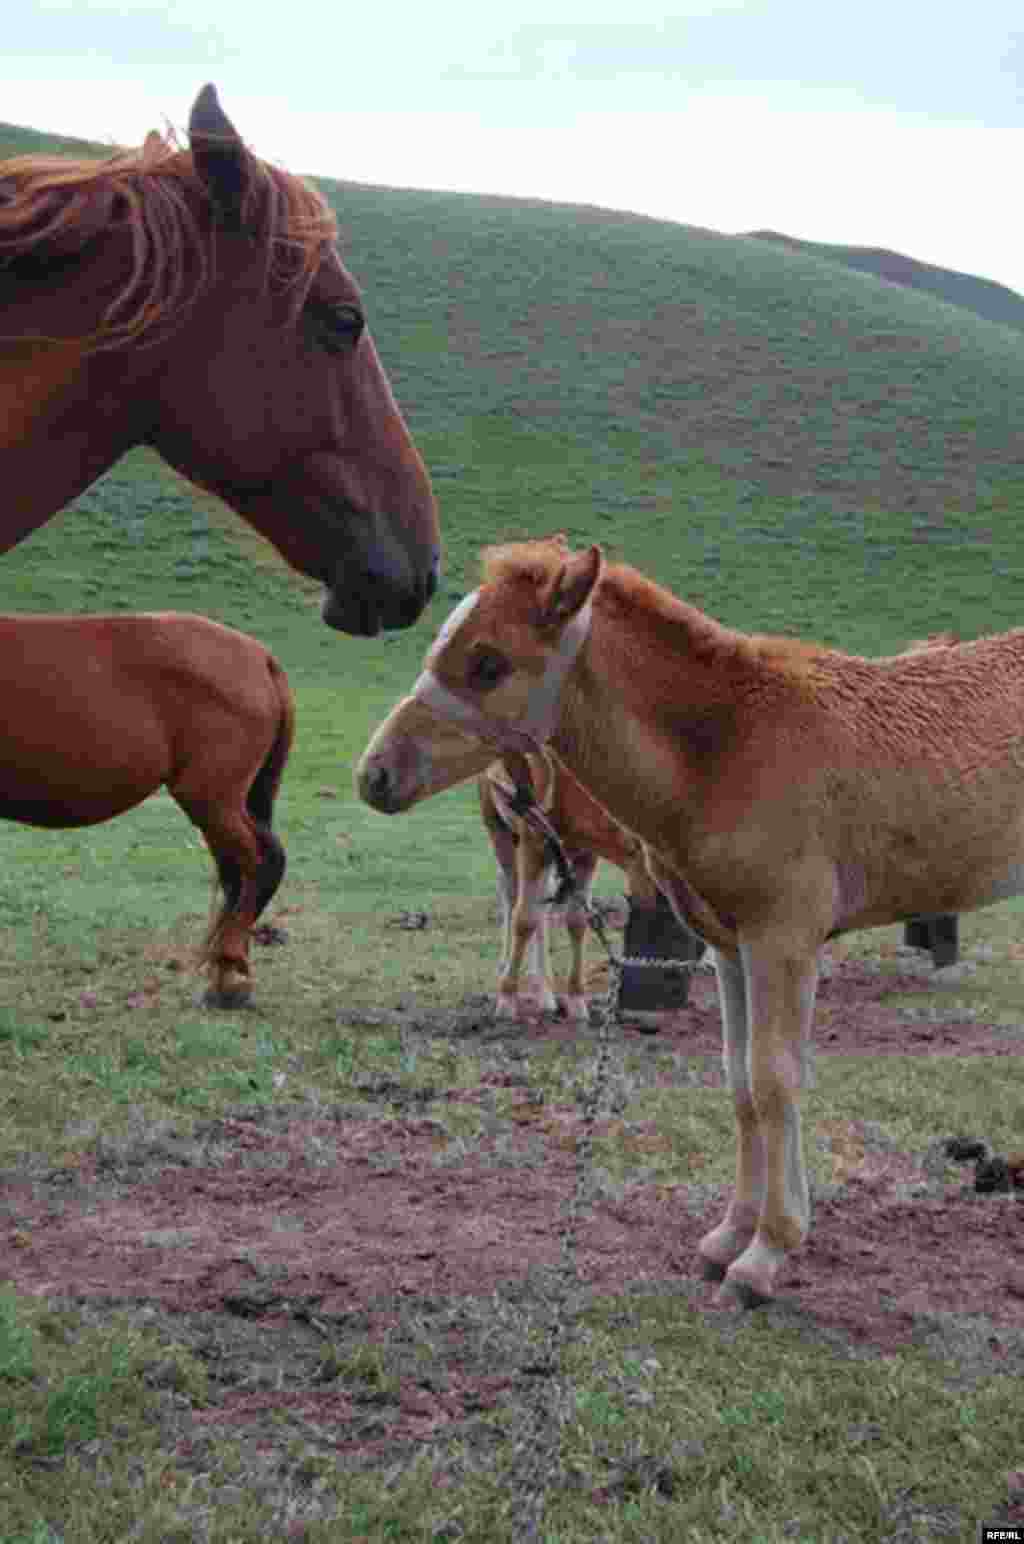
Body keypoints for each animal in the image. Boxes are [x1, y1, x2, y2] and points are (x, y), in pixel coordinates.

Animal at [481, 750, 657, 1019]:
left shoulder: (585, 854)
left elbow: (576, 921)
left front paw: (577, 1001)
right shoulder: (532, 839)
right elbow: (524, 919)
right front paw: (506, 1000)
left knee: (540, 902)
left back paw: (545, 992)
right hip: (497, 826)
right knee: (511, 891)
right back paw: (506, 968)